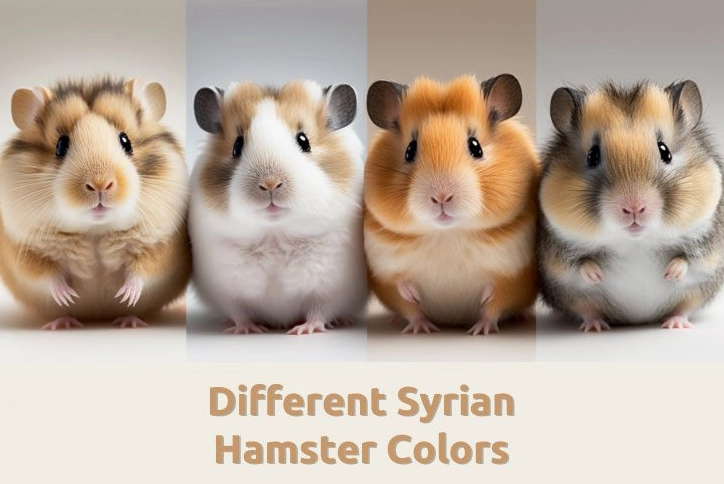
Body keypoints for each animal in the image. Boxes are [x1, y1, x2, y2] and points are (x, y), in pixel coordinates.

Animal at [0, 77, 190, 329]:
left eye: (126, 141)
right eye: (61, 145)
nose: (100, 184)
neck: (95, 229)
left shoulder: (161, 246)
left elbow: (143, 270)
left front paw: (125, 296)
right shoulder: (27, 252)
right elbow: (47, 275)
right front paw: (68, 296)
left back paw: (129, 321)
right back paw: (62, 323)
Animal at [190, 80, 368, 335]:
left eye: (304, 141)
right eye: (237, 146)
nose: (270, 184)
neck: (274, 233)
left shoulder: (331, 284)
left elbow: (319, 309)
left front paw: (304, 331)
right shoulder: (226, 286)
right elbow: (239, 311)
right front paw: (247, 330)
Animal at [364, 75, 540, 335]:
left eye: (476, 147)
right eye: (409, 150)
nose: (441, 197)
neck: (447, 234)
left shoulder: (513, 272)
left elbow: (495, 300)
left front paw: (479, 330)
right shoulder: (385, 269)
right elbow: (405, 295)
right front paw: (421, 328)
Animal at [538, 80, 724, 331]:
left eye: (665, 151)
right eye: (592, 156)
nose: (634, 208)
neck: (635, 242)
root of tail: (637, 318)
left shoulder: (709, 250)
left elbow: (686, 259)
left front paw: (670, 273)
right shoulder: (556, 259)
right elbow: (580, 263)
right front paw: (597, 275)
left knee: (684, 308)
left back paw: (674, 324)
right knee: (587, 310)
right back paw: (595, 327)